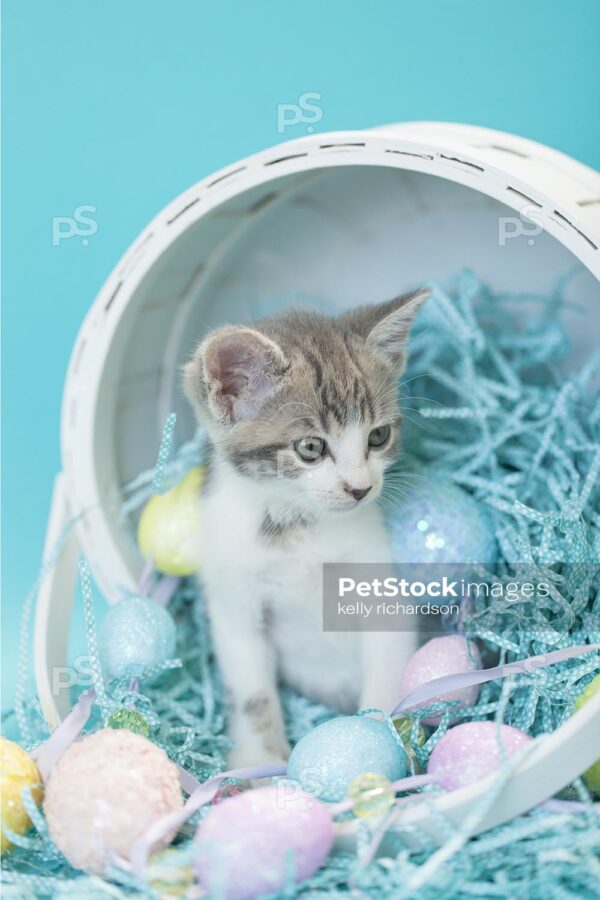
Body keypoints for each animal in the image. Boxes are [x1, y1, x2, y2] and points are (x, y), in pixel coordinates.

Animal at [185, 288, 428, 768]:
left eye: (378, 436)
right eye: (311, 447)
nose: (361, 488)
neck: (296, 528)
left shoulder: (381, 589)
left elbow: (387, 667)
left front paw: (377, 739)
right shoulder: (235, 603)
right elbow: (252, 693)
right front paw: (258, 762)